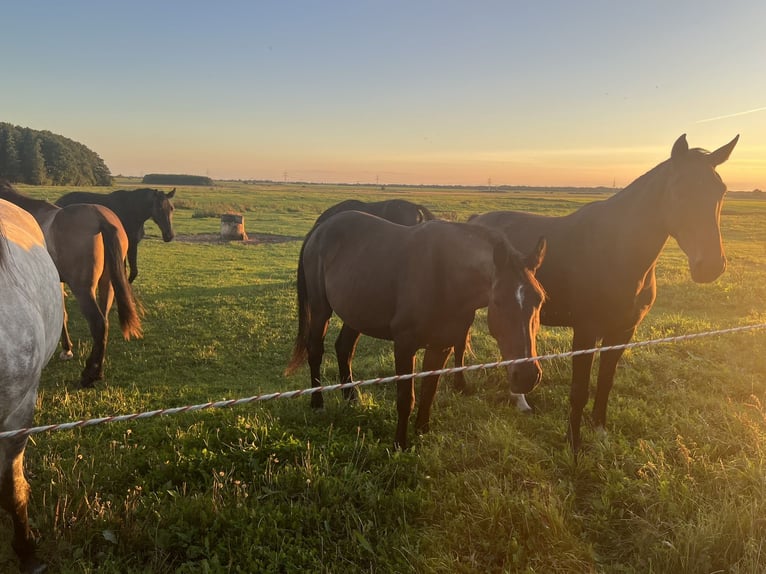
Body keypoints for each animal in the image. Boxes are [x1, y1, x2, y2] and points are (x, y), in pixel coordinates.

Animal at [0, 182, 142, 388]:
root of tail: (99, 217)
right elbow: (63, 315)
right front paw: (67, 349)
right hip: (106, 284)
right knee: (104, 322)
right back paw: (97, 370)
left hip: (83, 289)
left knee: (98, 323)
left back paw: (89, 375)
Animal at [285, 210, 547, 449]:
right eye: (499, 301)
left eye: (540, 299)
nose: (527, 376)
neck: (445, 276)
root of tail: (321, 228)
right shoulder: (404, 346)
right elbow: (405, 398)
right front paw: (400, 443)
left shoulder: (441, 347)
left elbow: (429, 391)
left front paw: (422, 430)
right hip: (320, 309)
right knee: (315, 350)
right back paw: (317, 403)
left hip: (356, 312)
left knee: (344, 348)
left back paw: (351, 398)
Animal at [469, 133, 739, 452]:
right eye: (679, 190)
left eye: (721, 191)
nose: (710, 266)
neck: (616, 251)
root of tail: (476, 219)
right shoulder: (585, 332)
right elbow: (579, 389)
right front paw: (573, 444)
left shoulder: (622, 332)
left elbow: (606, 382)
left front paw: (599, 431)